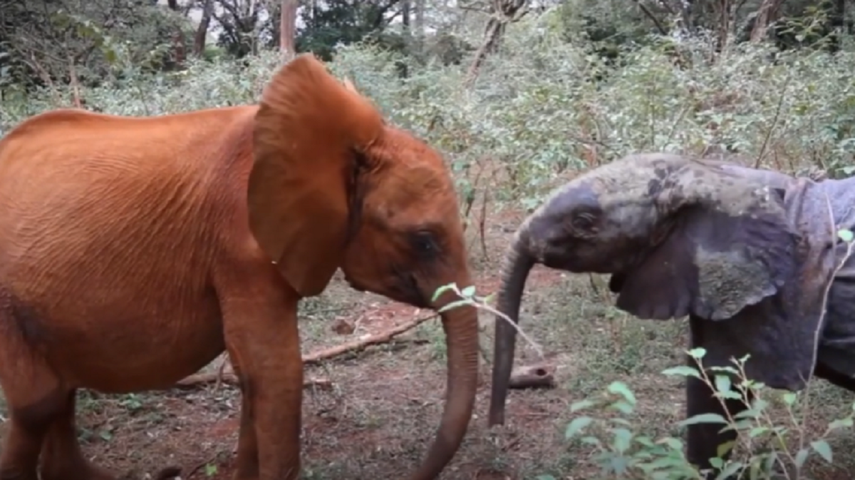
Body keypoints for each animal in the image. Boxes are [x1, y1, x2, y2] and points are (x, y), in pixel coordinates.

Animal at [0, 53, 479, 480]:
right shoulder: (241, 245)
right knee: (38, 403)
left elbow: (253, 374)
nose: (416, 472)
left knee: (58, 393)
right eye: (423, 240)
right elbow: (276, 373)